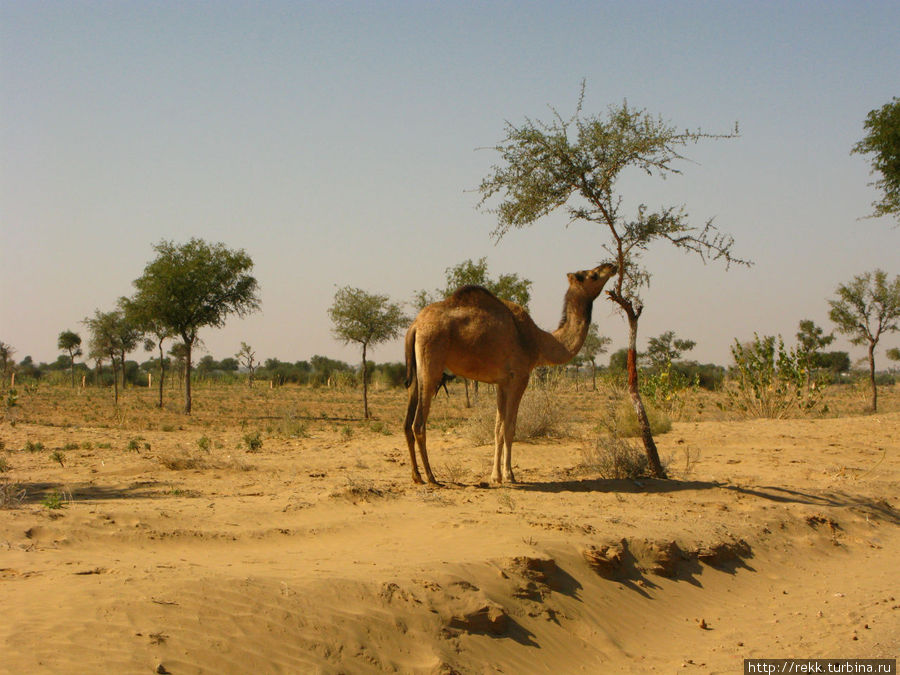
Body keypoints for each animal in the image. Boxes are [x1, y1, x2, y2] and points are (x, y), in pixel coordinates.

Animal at [404, 264, 616, 486]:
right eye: (593, 275)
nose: (611, 266)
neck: (539, 342)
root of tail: (415, 326)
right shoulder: (520, 377)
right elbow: (510, 428)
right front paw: (509, 475)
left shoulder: (502, 382)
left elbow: (498, 428)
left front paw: (495, 475)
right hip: (431, 362)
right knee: (418, 423)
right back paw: (431, 476)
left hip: (417, 370)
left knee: (407, 423)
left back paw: (417, 476)